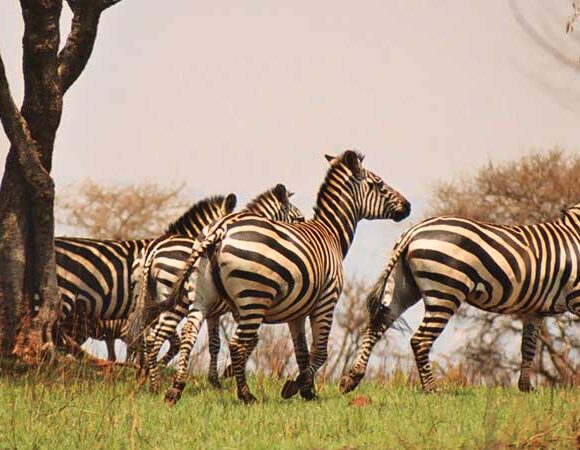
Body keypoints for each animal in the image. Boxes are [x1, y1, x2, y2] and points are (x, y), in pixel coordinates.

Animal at [130, 185, 304, 392]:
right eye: (299, 219)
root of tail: (154, 250)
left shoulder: (214, 312)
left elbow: (215, 343)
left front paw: (215, 379)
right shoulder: (242, 306)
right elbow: (250, 340)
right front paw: (228, 372)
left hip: (148, 303)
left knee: (144, 336)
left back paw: (145, 377)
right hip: (173, 304)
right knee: (155, 337)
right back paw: (155, 384)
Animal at [161, 150, 410, 404]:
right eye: (378, 184)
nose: (408, 206)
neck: (331, 234)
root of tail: (221, 230)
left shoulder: (296, 313)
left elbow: (302, 352)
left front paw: (308, 391)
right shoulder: (327, 300)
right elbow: (320, 352)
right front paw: (295, 387)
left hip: (202, 297)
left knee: (190, 333)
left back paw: (175, 389)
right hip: (253, 298)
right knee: (237, 343)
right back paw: (246, 395)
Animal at [338, 205, 580, 394]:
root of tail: (414, 231)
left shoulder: (534, 310)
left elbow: (528, 347)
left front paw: (526, 388)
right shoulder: (576, 297)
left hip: (403, 287)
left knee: (377, 325)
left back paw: (352, 378)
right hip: (445, 291)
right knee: (420, 339)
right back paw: (432, 390)